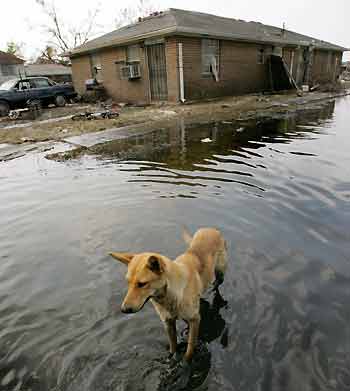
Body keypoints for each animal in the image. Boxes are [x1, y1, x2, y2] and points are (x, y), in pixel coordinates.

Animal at [110, 228, 228, 362]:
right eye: (128, 282)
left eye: (142, 284)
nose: (123, 310)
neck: (169, 296)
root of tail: (211, 229)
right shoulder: (168, 323)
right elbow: (173, 345)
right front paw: (172, 357)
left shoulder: (195, 320)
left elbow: (190, 348)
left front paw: (185, 363)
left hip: (220, 272)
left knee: (217, 284)